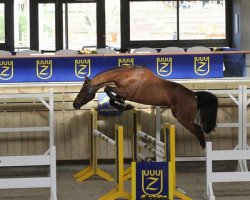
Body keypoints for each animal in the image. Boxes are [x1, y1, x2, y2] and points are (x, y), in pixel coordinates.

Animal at [73, 65, 218, 148]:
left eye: (84, 90)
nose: (75, 104)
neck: (126, 75)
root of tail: (193, 95)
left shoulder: (127, 92)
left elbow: (108, 89)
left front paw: (124, 105)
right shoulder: (122, 92)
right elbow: (112, 97)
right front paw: (125, 106)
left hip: (184, 119)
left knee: (198, 130)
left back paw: (204, 149)